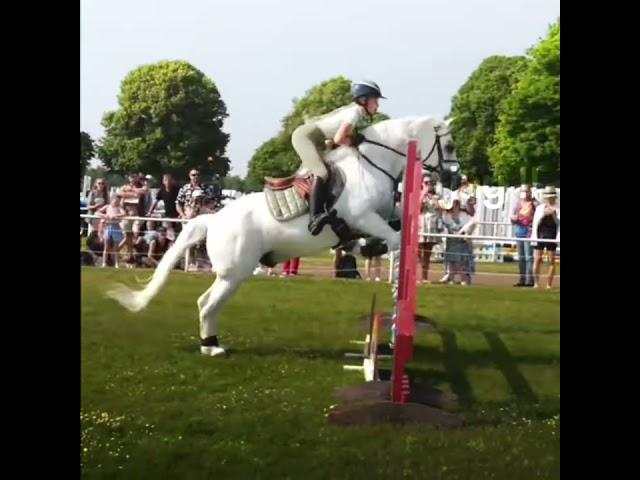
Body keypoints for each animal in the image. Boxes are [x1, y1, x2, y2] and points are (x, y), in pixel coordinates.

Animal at [107, 116, 458, 354]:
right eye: (450, 145)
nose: (455, 179)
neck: (373, 166)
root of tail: (213, 219)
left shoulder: (383, 214)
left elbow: (398, 225)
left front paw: (370, 250)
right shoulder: (365, 217)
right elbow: (394, 239)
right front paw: (388, 268)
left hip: (234, 274)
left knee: (210, 304)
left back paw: (212, 342)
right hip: (234, 272)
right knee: (206, 303)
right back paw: (211, 347)